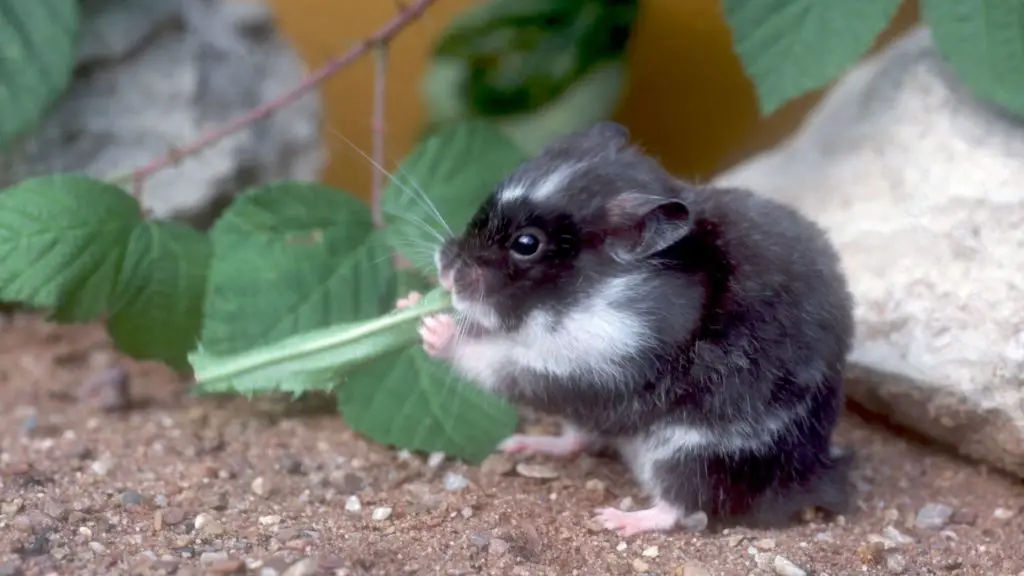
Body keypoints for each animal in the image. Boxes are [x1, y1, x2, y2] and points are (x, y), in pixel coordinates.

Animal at [393, 119, 856, 532]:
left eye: (527, 244)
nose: (445, 270)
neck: (579, 299)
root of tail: (810, 481)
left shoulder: (594, 369)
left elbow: (499, 363)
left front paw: (434, 331)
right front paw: (409, 304)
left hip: (690, 456)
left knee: (681, 508)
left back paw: (617, 520)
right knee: (578, 439)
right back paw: (522, 444)